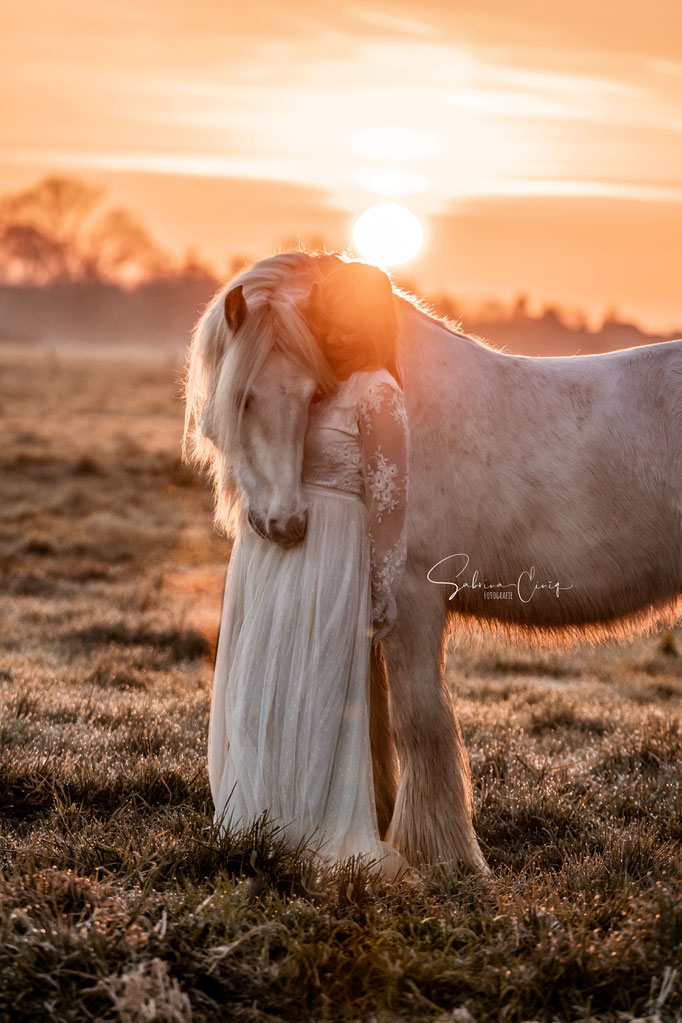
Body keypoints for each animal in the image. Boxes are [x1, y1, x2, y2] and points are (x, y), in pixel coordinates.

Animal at [183, 249, 682, 871]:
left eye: (311, 392)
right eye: (244, 397)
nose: (286, 522)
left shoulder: (411, 598)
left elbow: (419, 723)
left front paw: (442, 857)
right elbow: (367, 719)